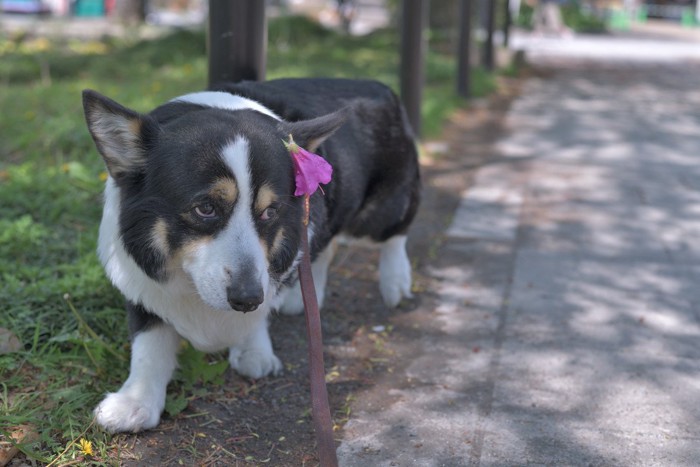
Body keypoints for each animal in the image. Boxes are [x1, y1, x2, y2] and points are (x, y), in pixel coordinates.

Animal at [82, 78, 422, 434]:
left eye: (270, 212)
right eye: (205, 208)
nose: (247, 299)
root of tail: (379, 86)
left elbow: (259, 315)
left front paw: (254, 350)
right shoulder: (140, 283)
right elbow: (148, 345)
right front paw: (134, 402)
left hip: (379, 214)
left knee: (395, 232)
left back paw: (395, 281)